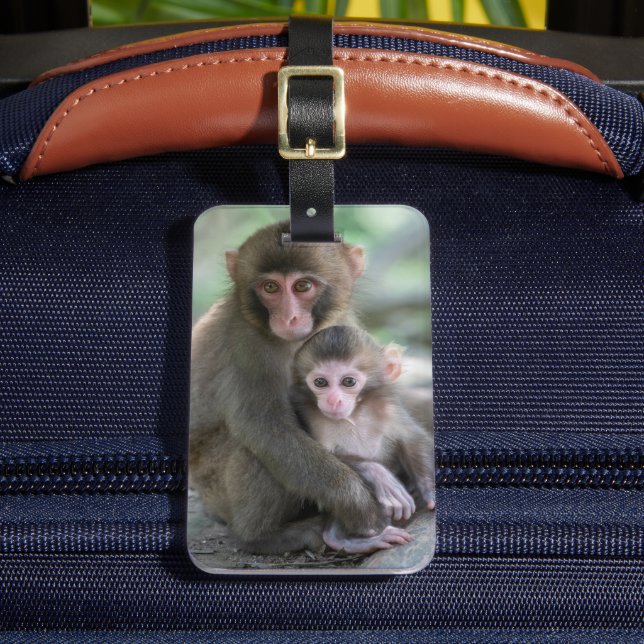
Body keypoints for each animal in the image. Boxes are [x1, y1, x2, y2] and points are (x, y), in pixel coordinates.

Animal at [189, 220, 402, 555]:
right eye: (270, 288)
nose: (288, 317)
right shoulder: (246, 344)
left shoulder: (341, 322)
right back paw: (262, 537)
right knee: (256, 449)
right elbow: (265, 427)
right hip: (215, 489)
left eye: (302, 286)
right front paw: (358, 506)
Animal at [291, 325, 436, 554]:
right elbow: (320, 457)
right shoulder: (311, 416)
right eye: (320, 382)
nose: (333, 400)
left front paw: (431, 491)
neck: (354, 416)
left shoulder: (389, 408)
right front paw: (380, 476)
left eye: (348, 382)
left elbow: (412, 439)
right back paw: (349, 539)